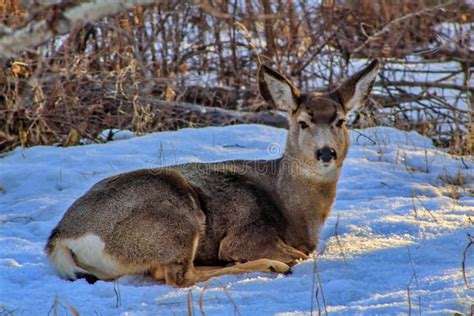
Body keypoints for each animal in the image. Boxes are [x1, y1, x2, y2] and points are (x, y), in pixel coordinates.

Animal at [46, 58, 380, 286]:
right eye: (303, 122)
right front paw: (273, 261)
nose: (326, 152)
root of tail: (61, 236)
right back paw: (270, 266)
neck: (294, 210)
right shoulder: (247, 233)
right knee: (179, 276)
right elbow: (299, 253)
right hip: (175, 218)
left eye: (340, 121)